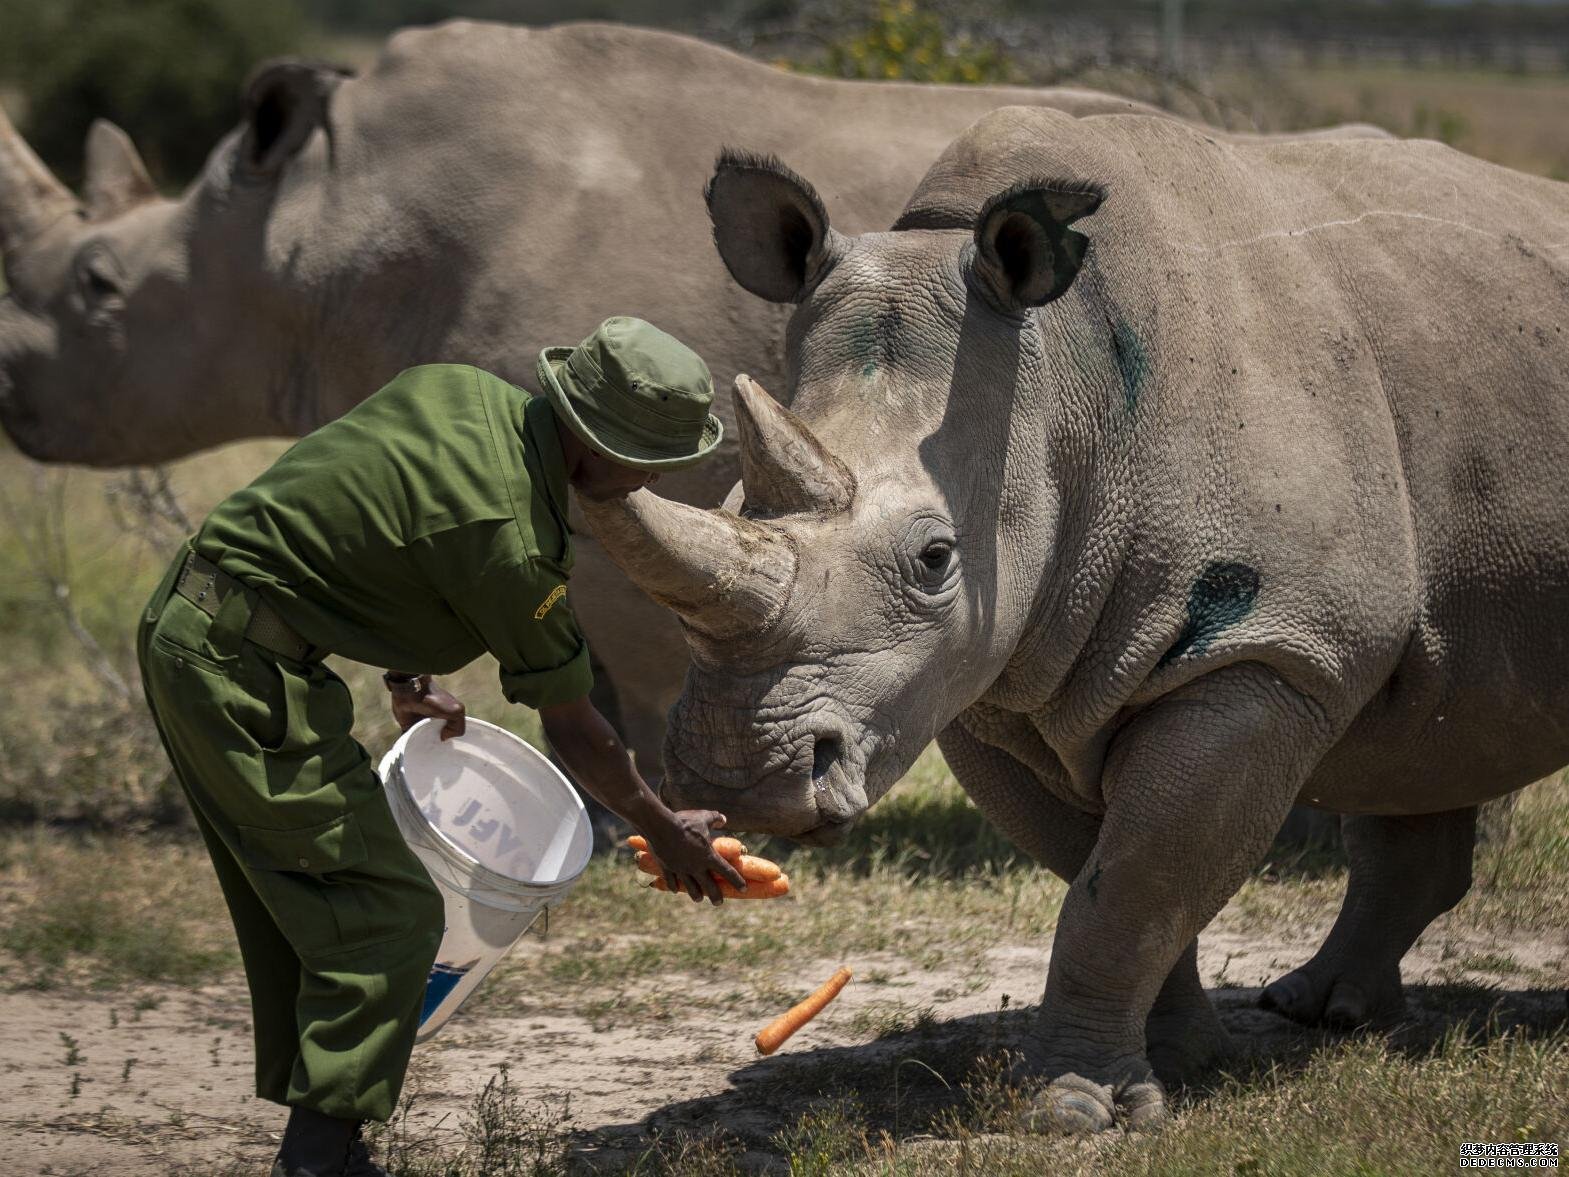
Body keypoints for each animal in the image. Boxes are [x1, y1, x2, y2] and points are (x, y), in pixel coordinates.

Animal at [583, 108, 1569, 1136]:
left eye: (935, 559)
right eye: (731, 501)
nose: (737, 776)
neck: (1058, 386)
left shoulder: (1268, 650)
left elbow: (1130, 884)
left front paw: (1068, 1108)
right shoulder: (988, 680)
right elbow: (1107, 877)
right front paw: (1173, 1066)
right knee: (1423, 725)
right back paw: (1320, 1011)